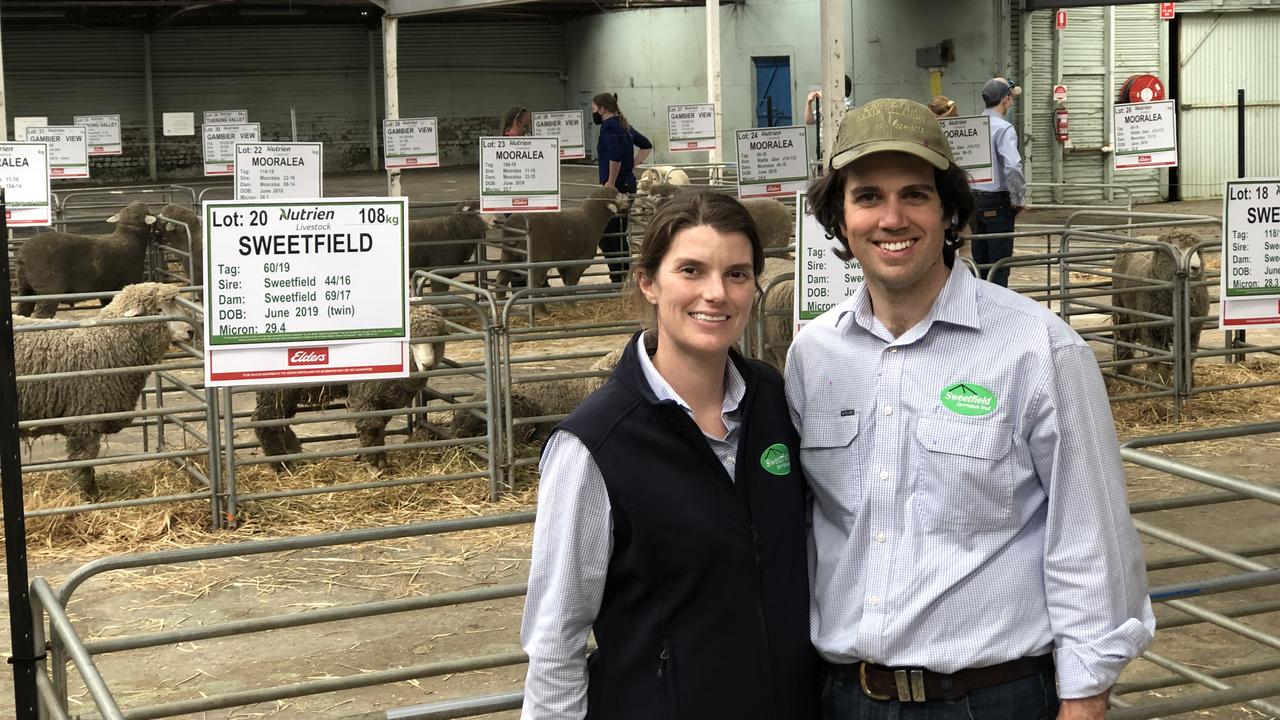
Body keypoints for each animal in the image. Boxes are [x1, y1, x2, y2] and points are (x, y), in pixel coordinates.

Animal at [13, 281, 197, 499]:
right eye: (159, 310)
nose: (191, 331)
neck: (107, 342)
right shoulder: (84, 418)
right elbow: (85, 459)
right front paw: (88, 495)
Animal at [16, 199, 158, 315]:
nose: (139, 201)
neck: (128, 234)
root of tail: (22, 256)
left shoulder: (106, 288)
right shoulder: (126, 282)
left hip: (25, 287)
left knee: (22, 309)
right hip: (48, 289)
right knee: (42, 313)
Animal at [1111, 228, 1208, 384]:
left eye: (1198, 251)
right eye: (1176, 248)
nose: (1195, 267)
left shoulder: (1193, 331)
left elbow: (1187, 358)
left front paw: (1188, 382)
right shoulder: (1152, 329)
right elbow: (1159, 358)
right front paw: (1158, 380)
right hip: (1121, 310)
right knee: (1123, 339)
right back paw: (1122, 370)